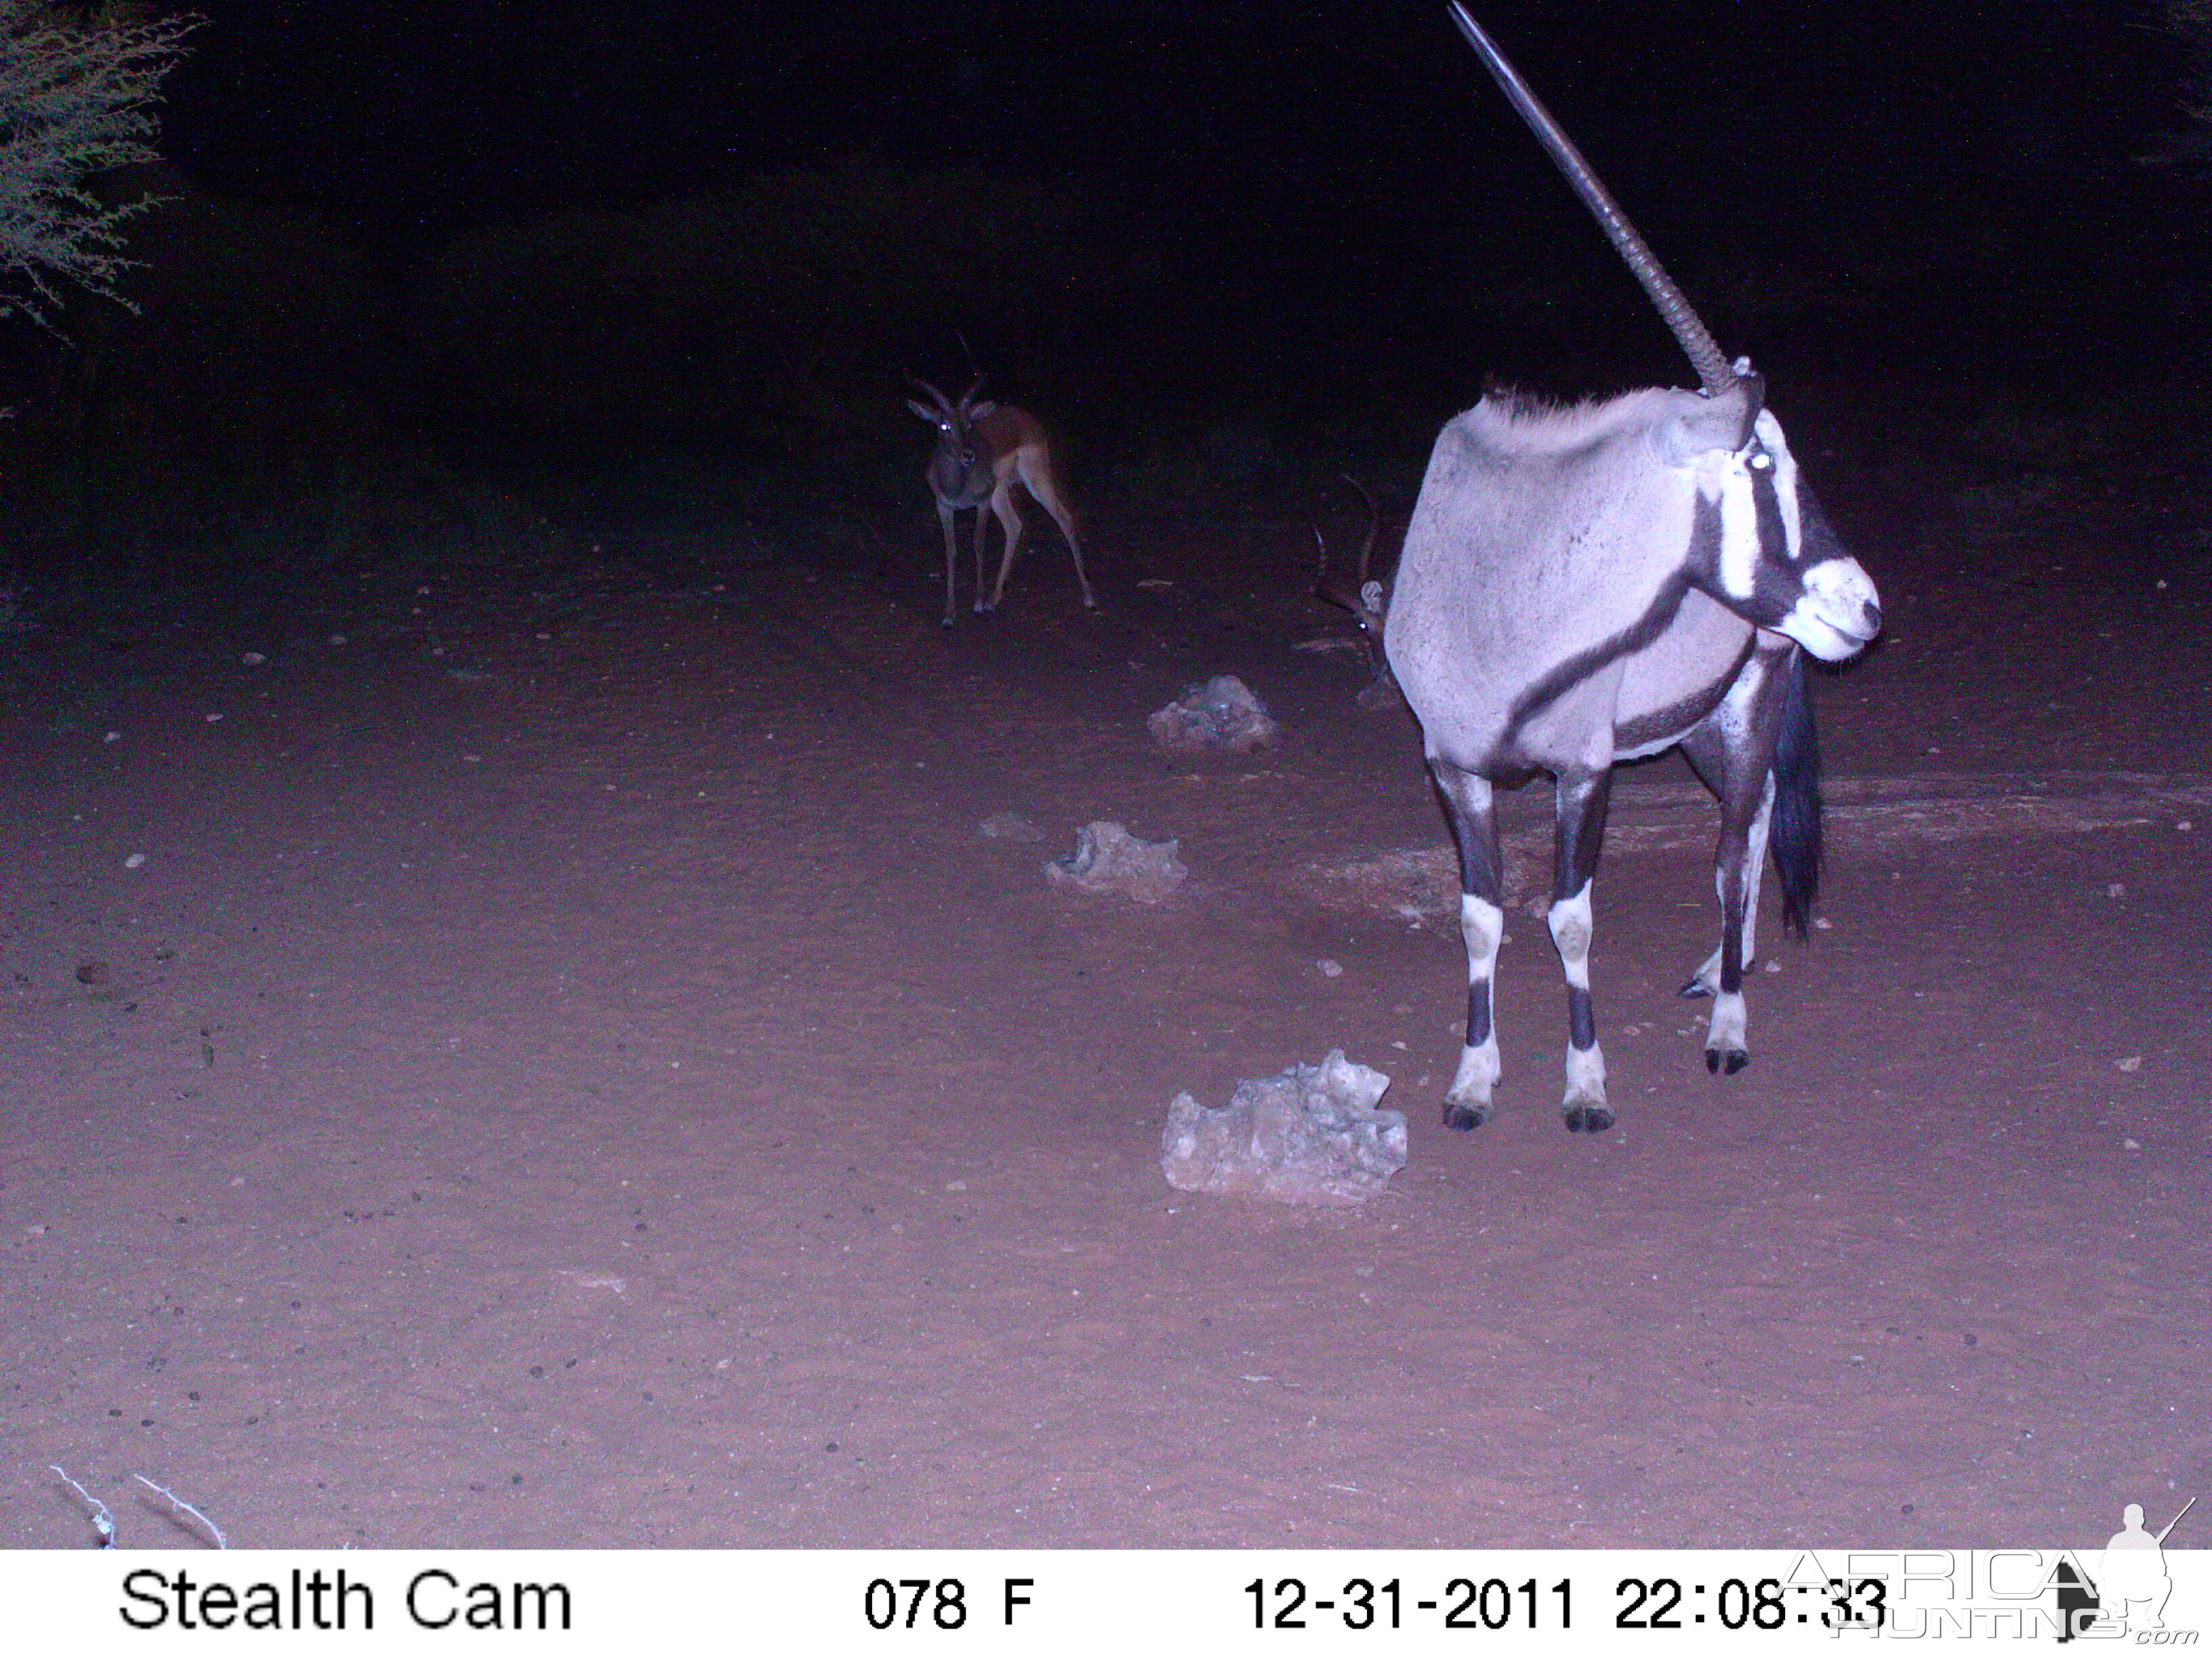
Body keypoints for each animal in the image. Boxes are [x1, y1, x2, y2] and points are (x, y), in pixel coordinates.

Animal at [907, 380, 1097, 628]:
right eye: (944, 426)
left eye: (969, 423)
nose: (968, 455)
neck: (957, 485)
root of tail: (1028, 419)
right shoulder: (944, 507)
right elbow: (951, 551)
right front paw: (949, 614)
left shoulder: (983, 502)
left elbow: (978, 543)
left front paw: (978, 603)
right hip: (1001, 491)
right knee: (1014, 525)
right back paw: (994, 598)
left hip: (1036, 479)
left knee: (1064, 518)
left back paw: (1088, 597)